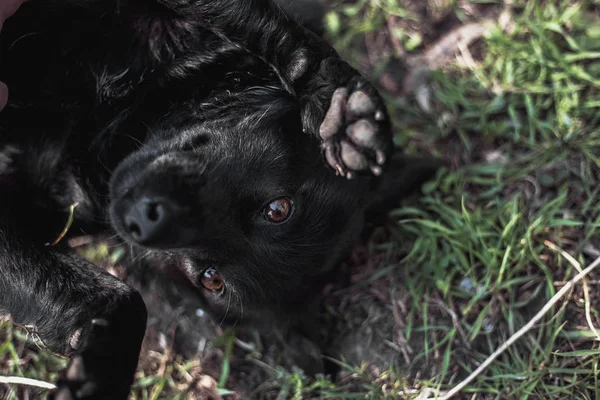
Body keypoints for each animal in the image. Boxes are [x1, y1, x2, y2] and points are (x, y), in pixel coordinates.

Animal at [1, 0, 436, 396]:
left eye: (211, 280)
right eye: (278, 209)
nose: (139, 220)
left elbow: (122, 301)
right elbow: (266, 26)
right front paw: (337, 105)